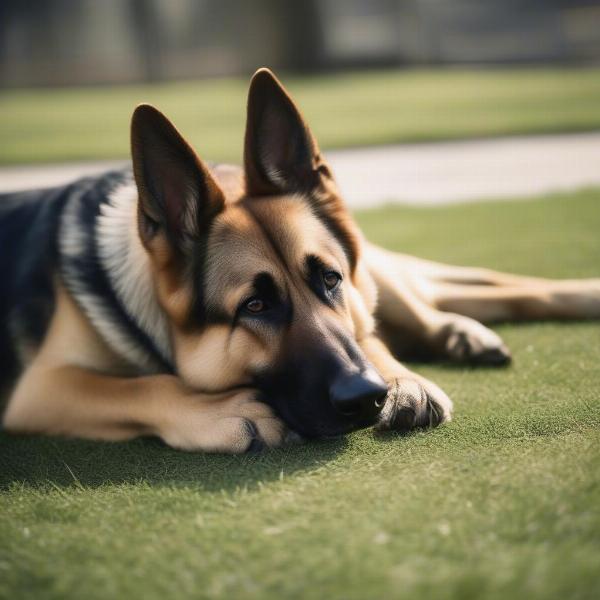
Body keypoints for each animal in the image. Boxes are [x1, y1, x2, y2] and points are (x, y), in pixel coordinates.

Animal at [1, 70, 600, 452]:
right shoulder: (40, 390)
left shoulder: (355, 293)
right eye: (255, 305)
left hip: (380, 276)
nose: (368, 397)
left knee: (458, 298)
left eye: (329, 278)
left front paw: (401, 378)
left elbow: (367, 334)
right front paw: (220, 412)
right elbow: (137, 386)